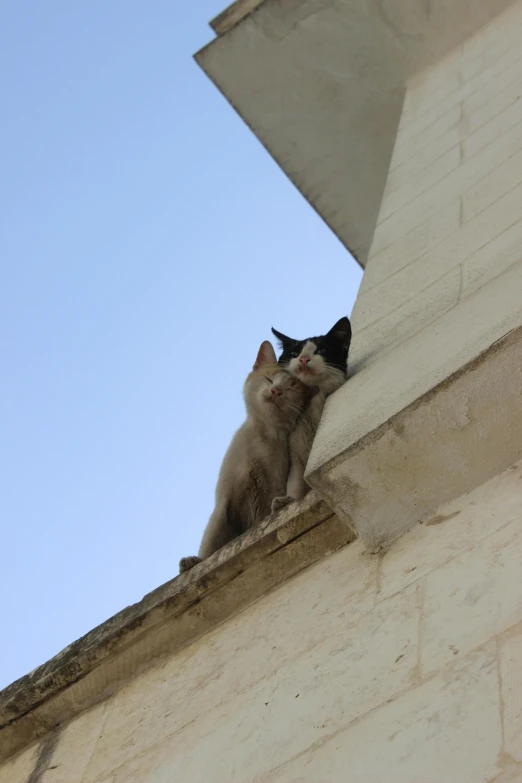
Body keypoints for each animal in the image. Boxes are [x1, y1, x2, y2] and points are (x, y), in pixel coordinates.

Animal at [179, 340, 316, 572]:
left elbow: (266, 514)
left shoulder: (272, 486)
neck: (261, 436)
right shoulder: (224, 501)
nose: (276, 391)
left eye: (290, 388)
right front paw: (195, 562)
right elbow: (211, 542)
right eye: (269, 379)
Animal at [268, 316, 350, 512]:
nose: (304, 359)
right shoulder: (295, 452)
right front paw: (289, 499)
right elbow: (296, 480)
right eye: (294, 353)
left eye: (322, 350)